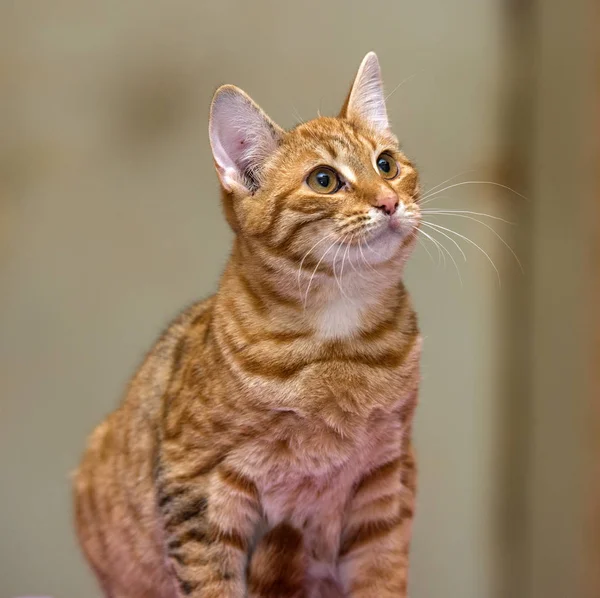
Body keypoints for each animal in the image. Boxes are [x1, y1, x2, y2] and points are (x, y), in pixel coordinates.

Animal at [74, 52, 422, 598]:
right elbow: (211, 584)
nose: (389, 201)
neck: (339, 348)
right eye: (324, 180)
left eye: (386, 164)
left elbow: (381, 578)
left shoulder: (385, 479)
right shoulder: (197, 484)